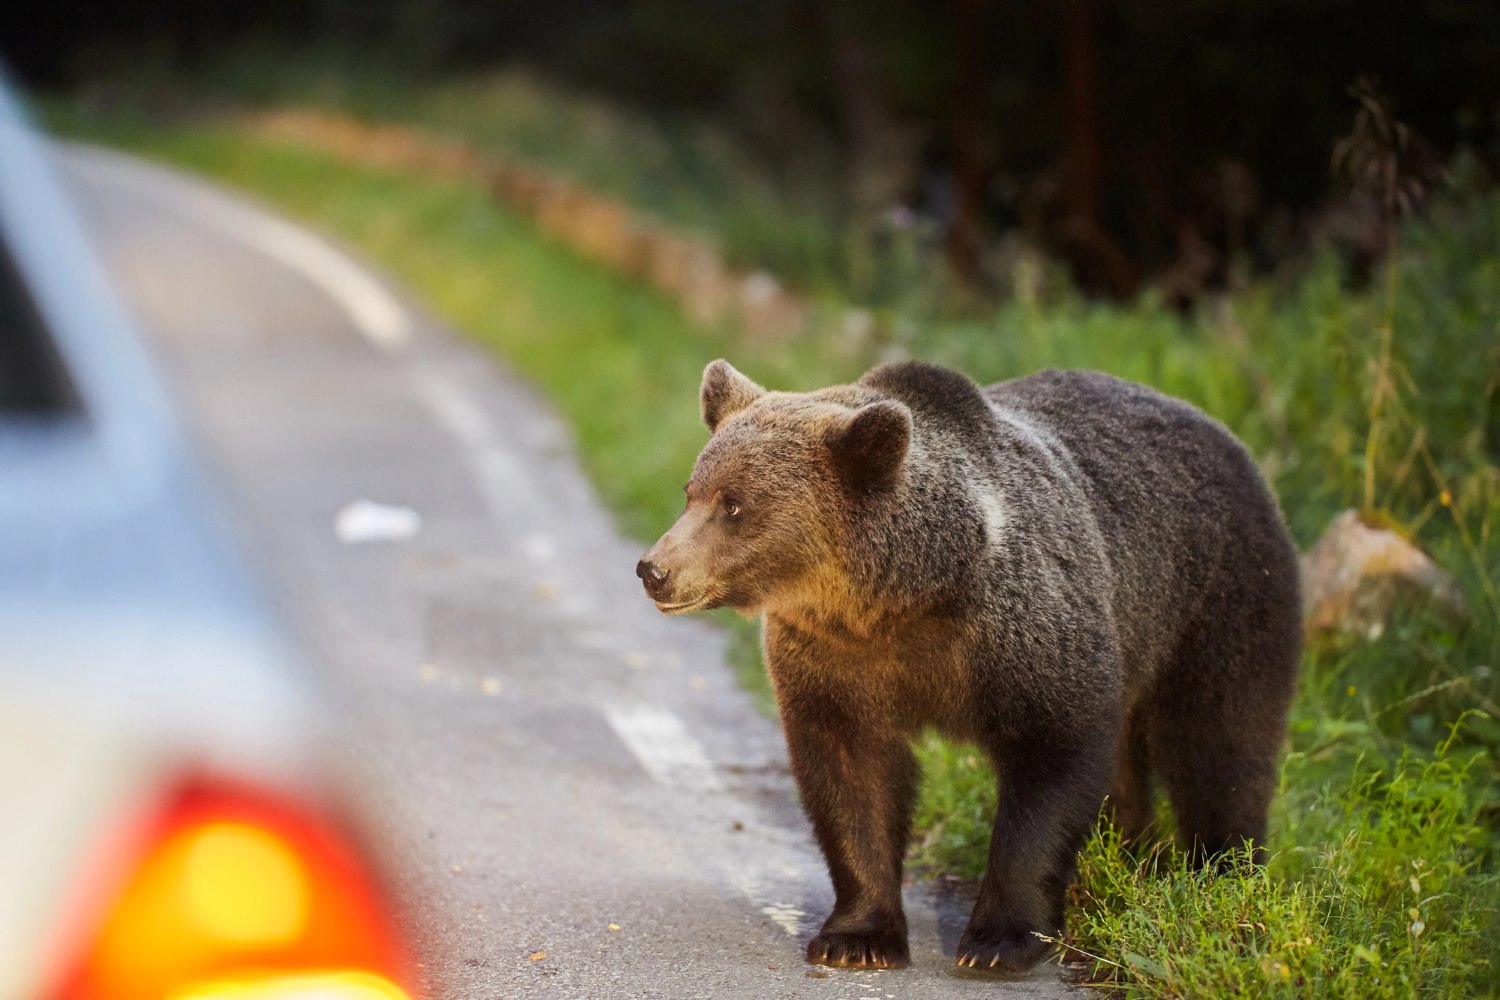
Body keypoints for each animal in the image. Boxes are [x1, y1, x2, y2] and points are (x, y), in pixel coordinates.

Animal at [633, 361, 1302, 977]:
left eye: (734, 505)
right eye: (692, 490)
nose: (654, 569)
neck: (898, 597)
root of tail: (1225, 435)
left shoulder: (1023, 637)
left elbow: (1054, 760)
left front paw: (998, 941)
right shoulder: (833, 659)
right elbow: (851, 775)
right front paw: (857, 937)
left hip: (1219, 598)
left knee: (1220, 744)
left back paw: (1222, 869)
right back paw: (1127, 855)